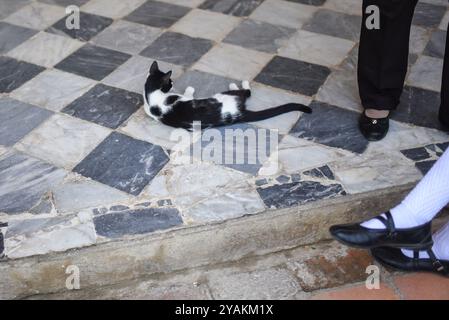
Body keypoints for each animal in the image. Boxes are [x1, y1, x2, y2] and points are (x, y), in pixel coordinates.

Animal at [142, 60, 310, 129]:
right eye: (170, 82)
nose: (173, 84)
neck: (150, 97)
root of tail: (240, 114)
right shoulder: (185, 98)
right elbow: (189, 93)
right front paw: (189, 88)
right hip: (226, 95)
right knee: (246, 92)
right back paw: (238, 84)